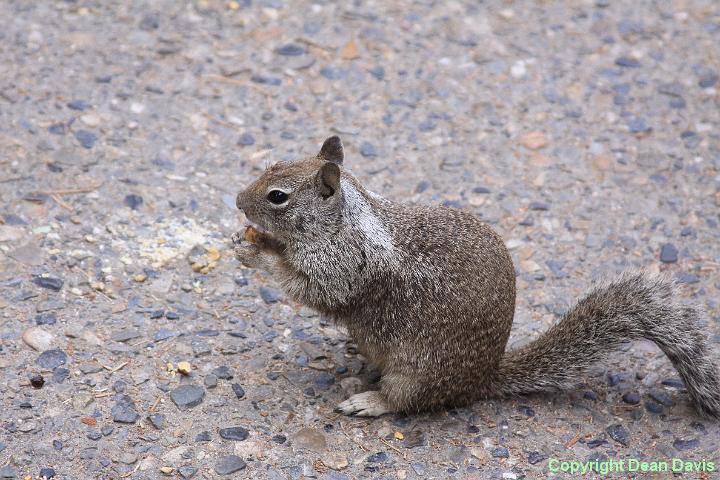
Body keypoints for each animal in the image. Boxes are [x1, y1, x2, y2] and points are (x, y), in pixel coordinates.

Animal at [232, 135, 720, 416]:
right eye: (272, 164)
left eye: (278, 196)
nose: (237, 200)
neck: (347, 221)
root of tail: (480, 381)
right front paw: (249, 239)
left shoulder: (346, 265)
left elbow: (314, 288)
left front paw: (260, 255)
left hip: (418, 371)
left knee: (405, 402)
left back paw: (369, 400)